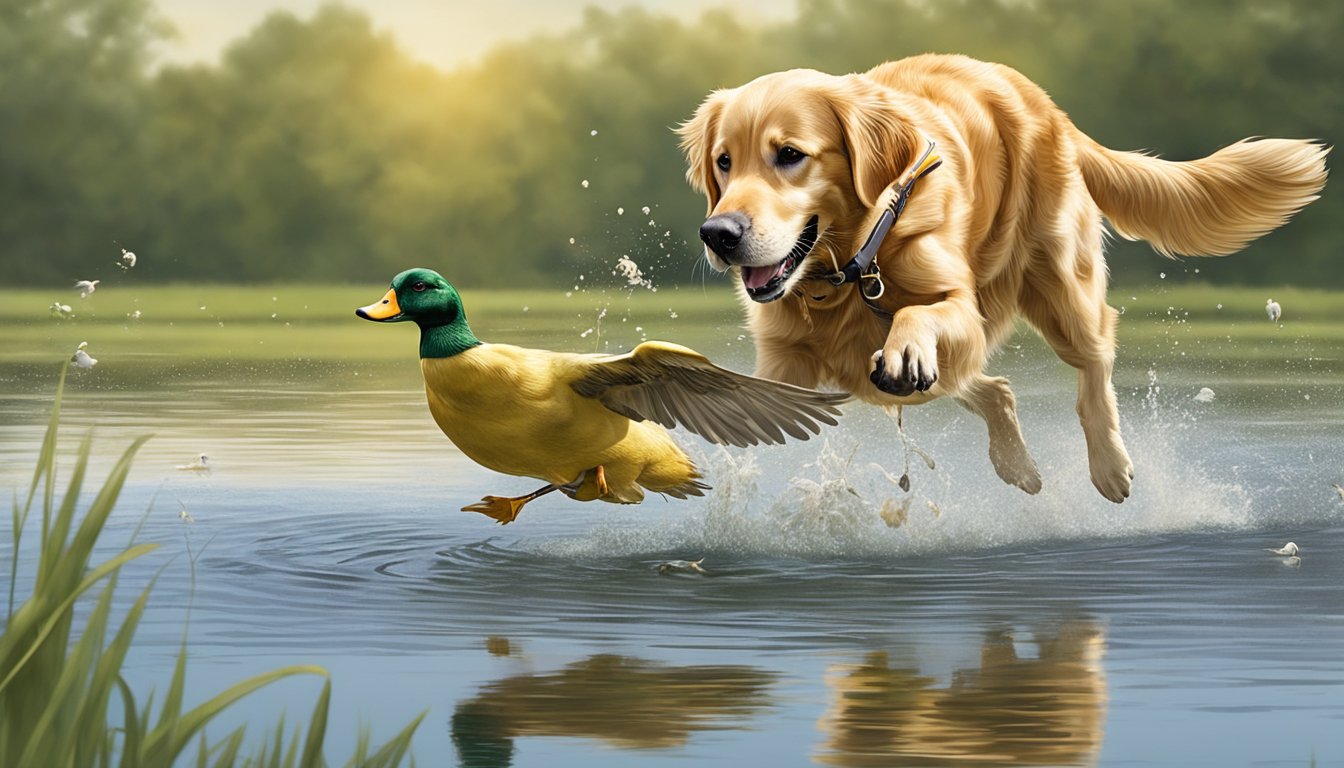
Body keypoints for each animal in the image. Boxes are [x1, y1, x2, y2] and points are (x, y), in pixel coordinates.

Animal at [677, 51, 1327, 503]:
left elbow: (918, 311)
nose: (719, 234)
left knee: (1095, 361)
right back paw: (1018, 466)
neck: (850, 268)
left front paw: (906, 344)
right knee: (995, 388)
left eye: (790, 155)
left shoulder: (961, 308)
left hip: (1061, 290)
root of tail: (1047, 104)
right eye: (724, 162)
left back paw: (1109, 467)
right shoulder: (782, 359)